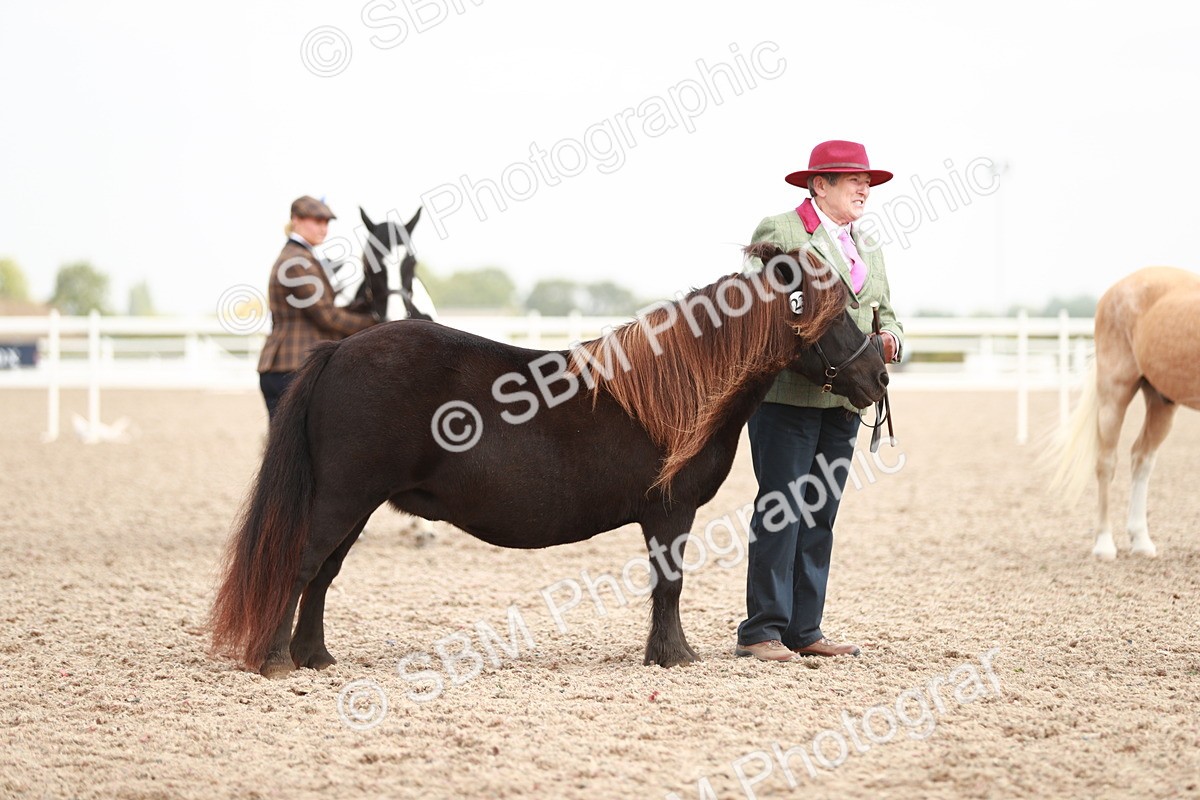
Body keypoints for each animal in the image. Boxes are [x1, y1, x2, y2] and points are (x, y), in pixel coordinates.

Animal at [208, 244, 890, 677]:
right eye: (836, 315)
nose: (879, 374)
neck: (674, 391)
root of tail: (339, 350)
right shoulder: (670, 512)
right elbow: (669, 583)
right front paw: (675, 656)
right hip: (343, 498)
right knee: (302, 564)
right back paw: (277, 661)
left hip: (355, 505)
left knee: (322, 575)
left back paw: (315, 659)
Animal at [1047, 266, 1200, 559]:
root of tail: (1115, 289)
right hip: (1113, 394)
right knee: (1106, 463)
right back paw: (1104, 545)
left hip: (1161, 402)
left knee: (1142, 458)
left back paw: (1141, 540)